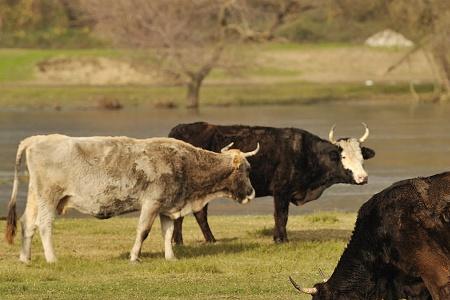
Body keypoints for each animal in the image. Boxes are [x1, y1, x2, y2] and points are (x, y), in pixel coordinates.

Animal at [169, 122, 376, 244]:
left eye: (361, 157)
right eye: (343, 156)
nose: (363, 178)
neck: (305, 153)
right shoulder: (281, 191)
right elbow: (281, 216)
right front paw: (281, 239)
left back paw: (187, 240)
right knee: (194, 214)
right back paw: (195, 240)